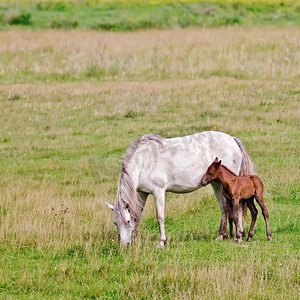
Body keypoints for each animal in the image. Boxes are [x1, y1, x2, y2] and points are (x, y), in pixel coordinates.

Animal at [105, 131, 253, 246]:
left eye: (127, 221)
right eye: (115, 223)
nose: (125, 244)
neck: (143, 161)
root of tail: (232, 139)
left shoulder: (158, 191)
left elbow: (160, 217)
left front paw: (161, 242)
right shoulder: (141, 193)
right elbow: (137, 213)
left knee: (238, 207)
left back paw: (239, 235)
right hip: (217, 184)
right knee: (224, 207)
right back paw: (222, 235)